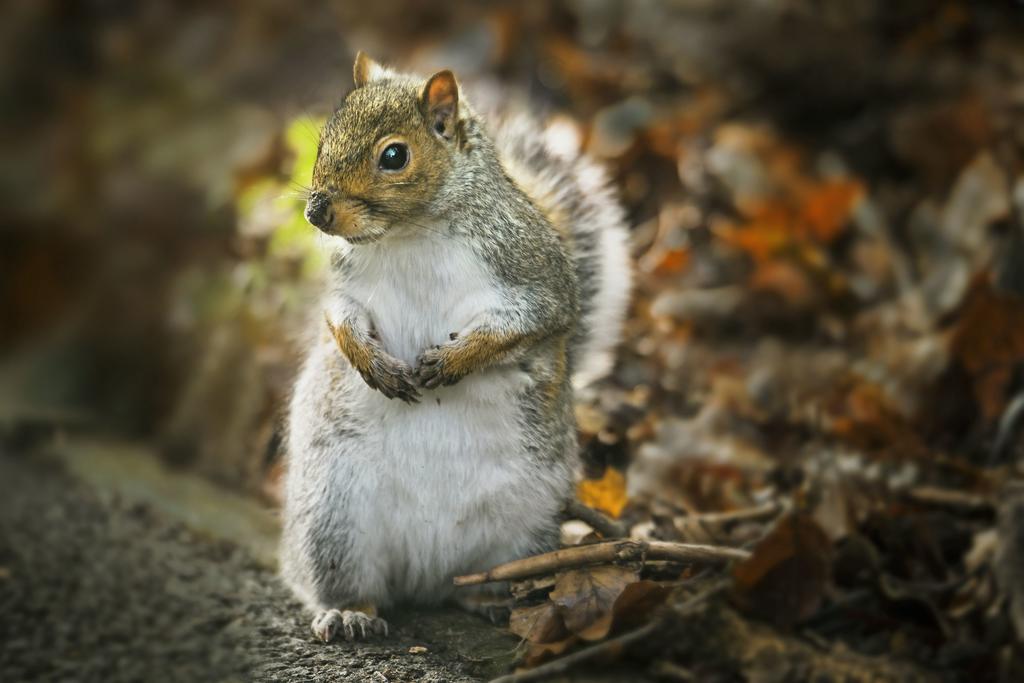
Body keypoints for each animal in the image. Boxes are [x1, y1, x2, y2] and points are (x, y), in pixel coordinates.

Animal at [280, 52, 630, 643]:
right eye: (324, 138)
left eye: (394, 156)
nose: (316, 213)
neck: (410, 233)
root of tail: (425, 576)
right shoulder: (346, 283)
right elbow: (340, 318)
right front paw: (372, 364)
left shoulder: (535, 274)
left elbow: (532, 320)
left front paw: (452, 361)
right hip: (332, 518)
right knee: (351, 582)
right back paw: (351, 612)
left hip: (523, 526)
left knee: (481, 578)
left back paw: (491, 600)